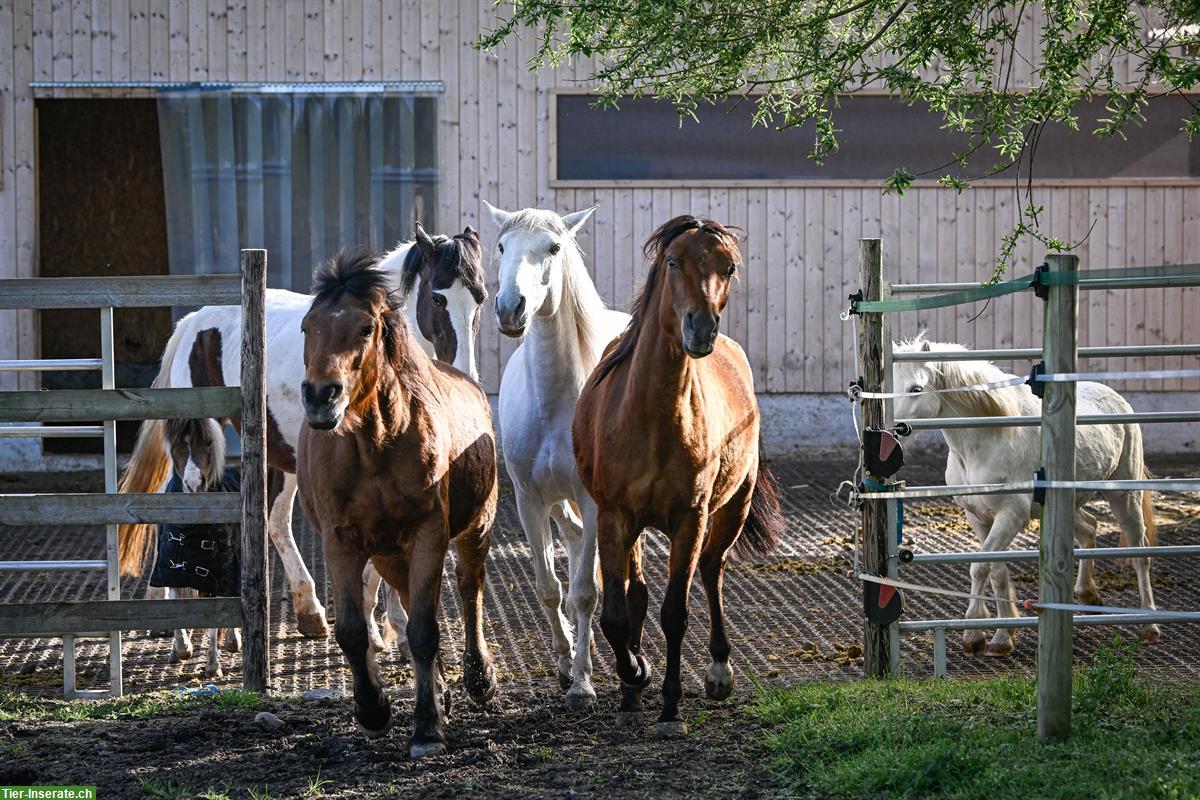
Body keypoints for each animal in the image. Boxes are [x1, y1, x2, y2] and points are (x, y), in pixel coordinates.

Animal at [115, 224, 482, 652]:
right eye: (438, 296)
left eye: (480, 297)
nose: (466, 373)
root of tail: (194, 321)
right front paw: (384, 628)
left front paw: (394, 627)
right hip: (196, 439)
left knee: (274, 522)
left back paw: (307, 612)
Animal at [297, 250, 499, 758]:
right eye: (308, 326)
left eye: (366, 328)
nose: (320, 395)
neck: (375, 443)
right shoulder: (341, 540)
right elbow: (353, 631)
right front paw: (374, 711)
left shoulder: (429, 533)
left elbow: (425, 629)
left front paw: (427, 727)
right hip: (389, 551)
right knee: (408, 596)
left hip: (476, 527)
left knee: (469, 589)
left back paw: (478, 678)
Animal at [487, 203, 633, 710]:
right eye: (501, 246)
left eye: (553, 247)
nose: (510, 308)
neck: (554, 402)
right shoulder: (530, 502)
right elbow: (551, 590)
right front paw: (564, 664)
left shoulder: (594, 502)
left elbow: (586, 592)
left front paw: (583, 684)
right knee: (571, 543)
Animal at [573, 214, 787, 738]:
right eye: (672, 262)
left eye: (728, 267)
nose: (701, 327)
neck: (652, 416)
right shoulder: (613, 517)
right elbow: (616, 614)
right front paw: (635, 673)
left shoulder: (690, 519)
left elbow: (675, 613)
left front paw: (670, 709)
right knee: (636, 593)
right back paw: (631, 690)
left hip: (732, 508)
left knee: (712, 570)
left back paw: (718, 671)